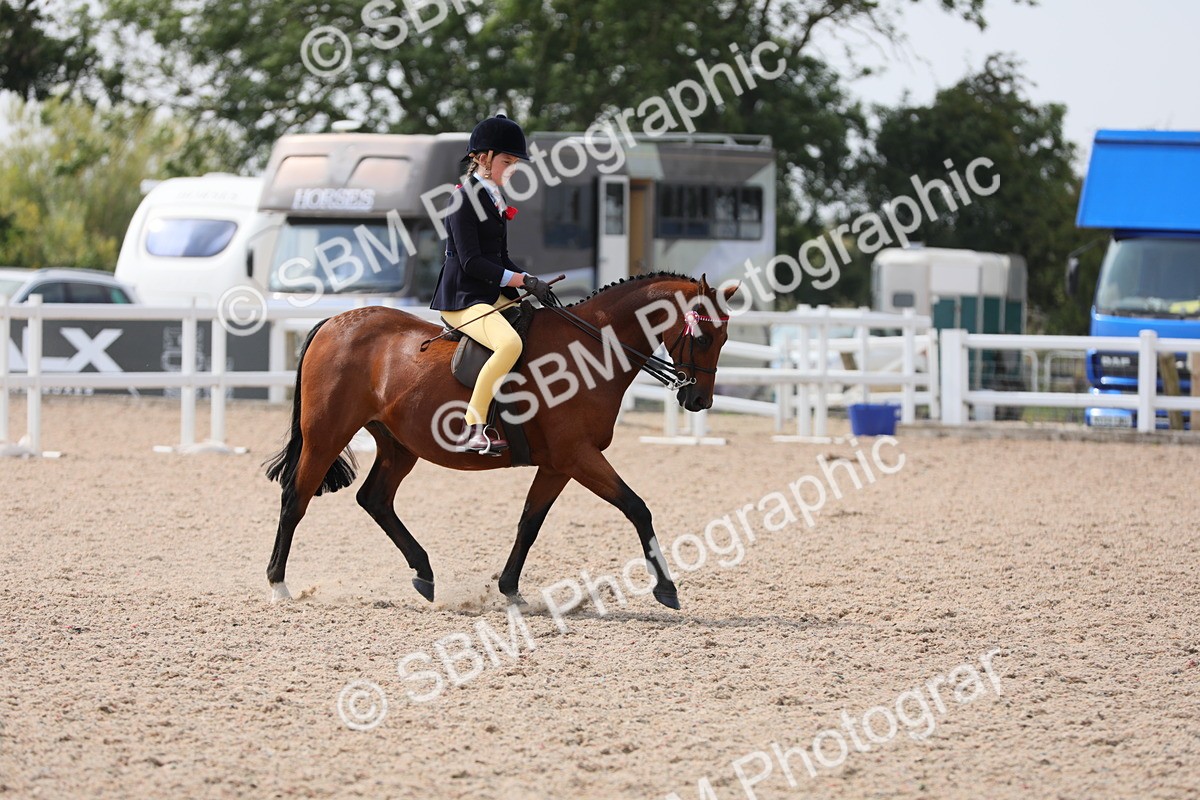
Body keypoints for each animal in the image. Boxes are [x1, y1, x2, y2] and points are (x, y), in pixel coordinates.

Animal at [264, 272, 738, 610]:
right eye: (703, 336)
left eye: (725, 337)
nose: (698, 399)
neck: (589, 350)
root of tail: (333, 322)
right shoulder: (578, 456)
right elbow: (637, 508)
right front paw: (667, 590)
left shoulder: (558, 464)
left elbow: (530, 522)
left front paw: (511, 589)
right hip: (326, 435)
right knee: (295, 497)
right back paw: (278, 584)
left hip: (399, 446)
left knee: (374, 499)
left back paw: (424, 574)